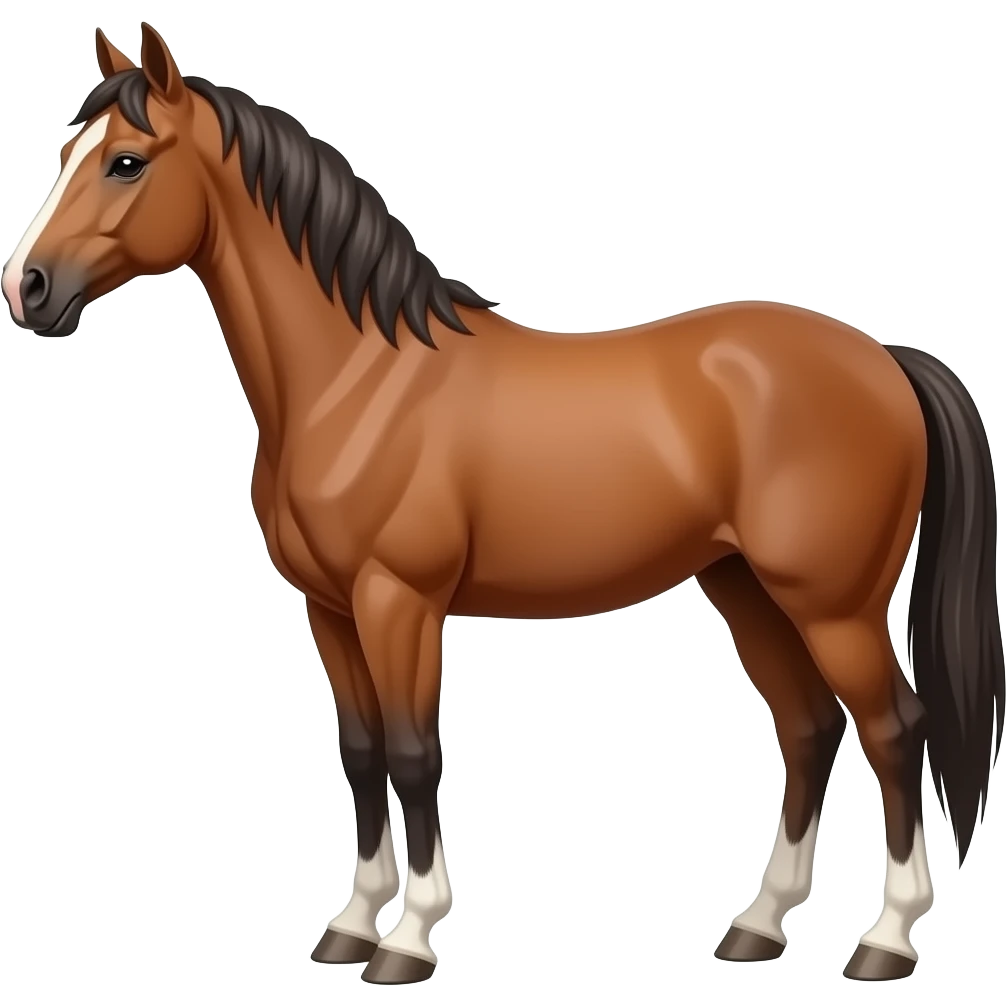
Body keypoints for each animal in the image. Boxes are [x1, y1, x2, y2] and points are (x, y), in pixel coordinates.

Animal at [3, 24, 1002, 986]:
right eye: (65, 150)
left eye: (126, 160)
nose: (28, 288)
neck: (359, 379)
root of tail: (884, 358)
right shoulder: (329, 609)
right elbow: (361, 754)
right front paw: (349, 925)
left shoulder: (398, 601)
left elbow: (415, 753)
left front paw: (409, 940)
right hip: (745, 588)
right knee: (808, 727)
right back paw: (757, 925)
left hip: (833, 605)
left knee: (893, 731)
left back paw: (886, 939)